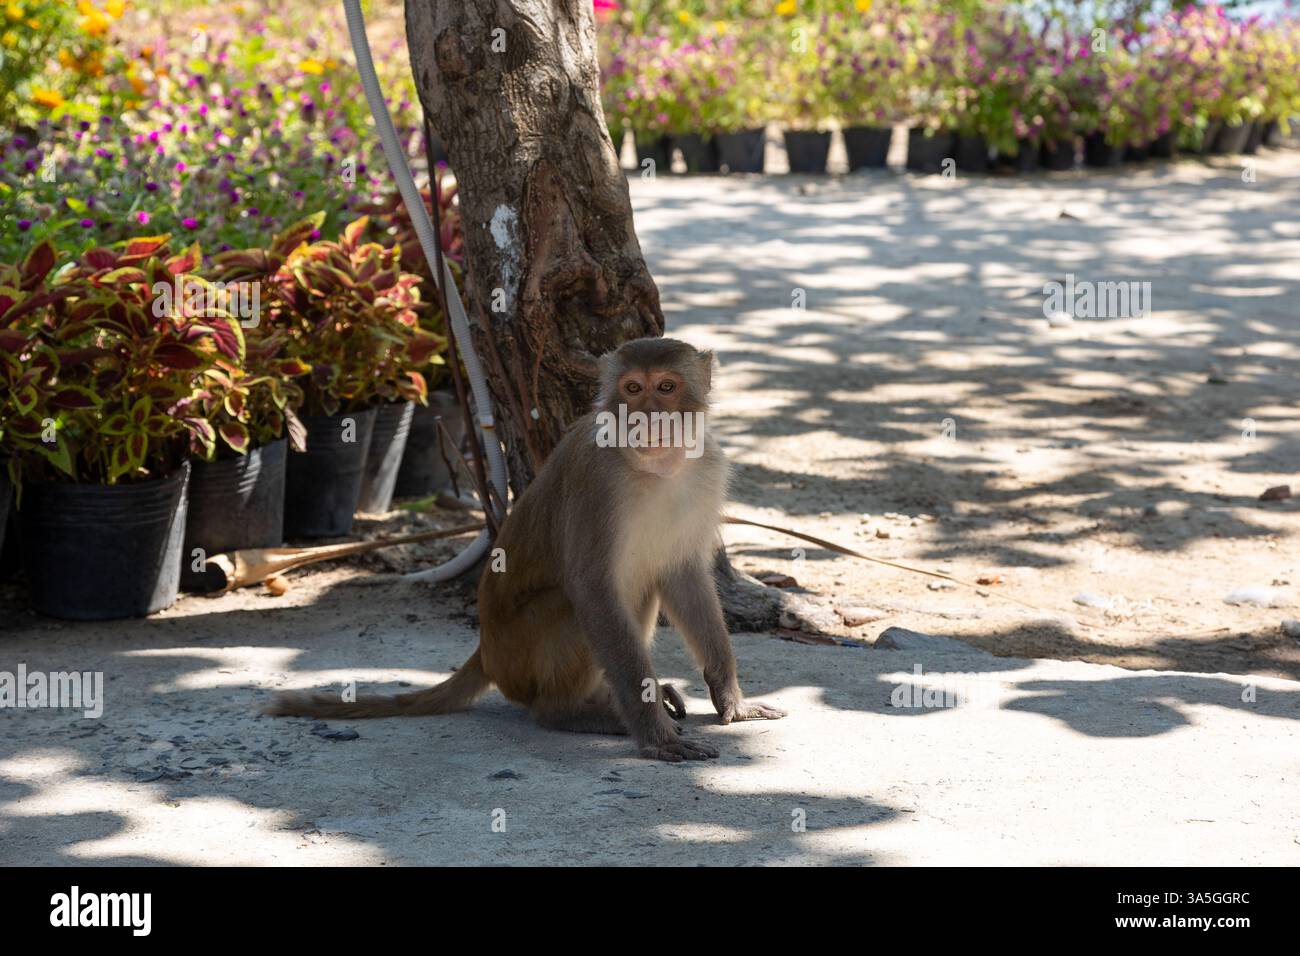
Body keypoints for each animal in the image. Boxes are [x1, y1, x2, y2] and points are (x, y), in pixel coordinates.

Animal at [266, 337, 785, 762]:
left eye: (667, 386)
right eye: (634, 389)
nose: (647, 415)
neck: (656, 467)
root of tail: (486, 652)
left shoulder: (707, 469)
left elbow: (683, 576)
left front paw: (730, 699)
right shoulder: (595, 477)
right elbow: (592, 588)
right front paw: (655, 736)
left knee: (640, 592)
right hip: (520, 656)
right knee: (576, 607)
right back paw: (569, 713)